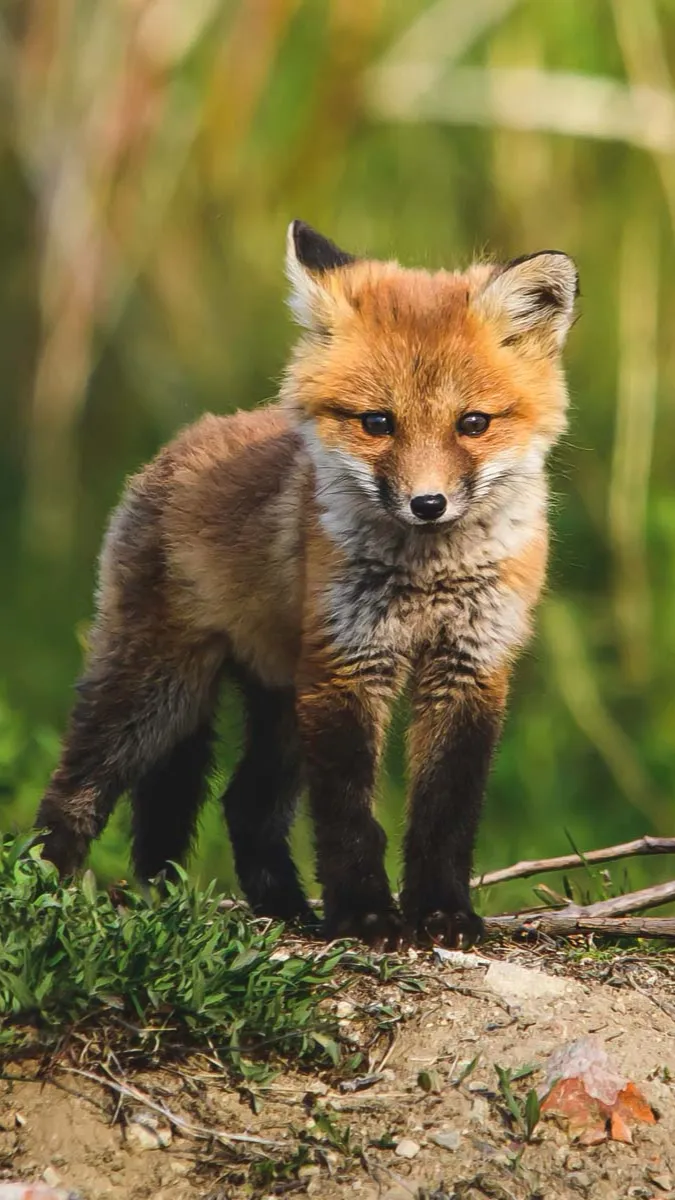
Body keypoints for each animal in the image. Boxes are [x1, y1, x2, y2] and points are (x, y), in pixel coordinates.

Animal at [35, 221, 578, 949]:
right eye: (377, 422)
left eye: (473, 424)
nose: (427, 504)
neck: (426, 576)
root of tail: (188, 437)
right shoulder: (347, 666)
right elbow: (349, 818)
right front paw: (367, 916)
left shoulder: (468, 667)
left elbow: (445, 813)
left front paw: (441, 914)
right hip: (160, 692)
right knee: (76, 786)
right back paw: (45, 887)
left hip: (278, 702)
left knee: (244, 804)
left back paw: (284, 908)